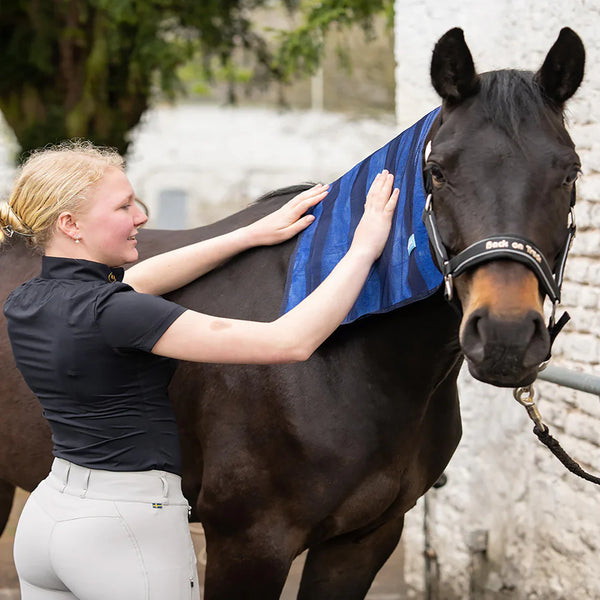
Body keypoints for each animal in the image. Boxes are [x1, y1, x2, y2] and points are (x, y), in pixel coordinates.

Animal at [0, 27, 584, 600]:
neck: (354, 359)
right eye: (437, 172)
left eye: (570, 174)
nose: (506, 335)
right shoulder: (250, 544)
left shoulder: (364, 540)